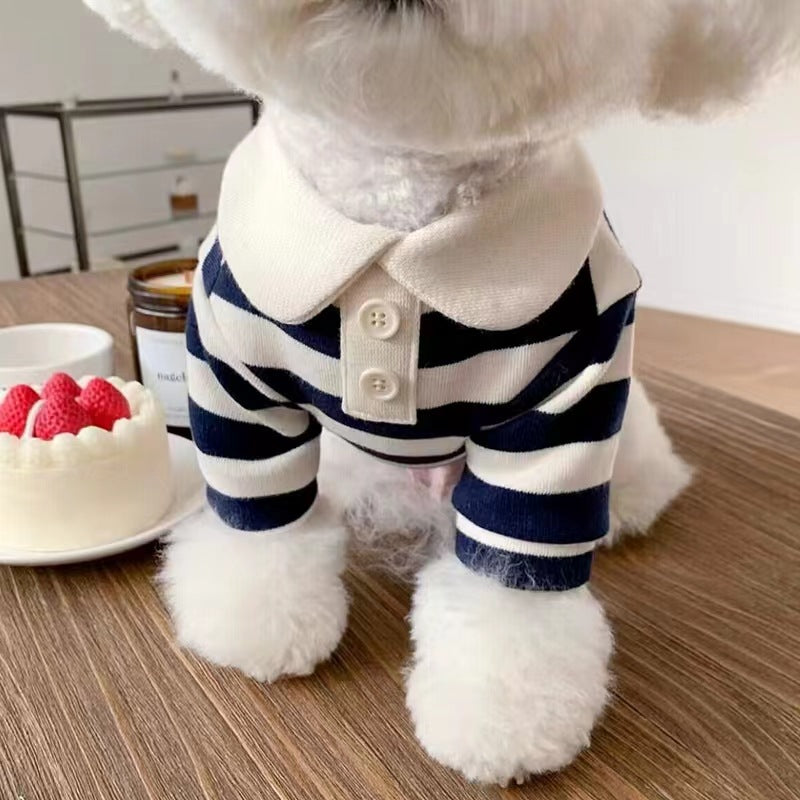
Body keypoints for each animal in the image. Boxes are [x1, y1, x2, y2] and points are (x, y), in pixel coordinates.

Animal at [84, 0, 796, 784]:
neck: (395, 214)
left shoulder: (569, 400)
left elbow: (509, 587)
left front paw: (503, 721)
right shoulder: (230, 366)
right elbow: (262, 513)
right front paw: (258, 624)